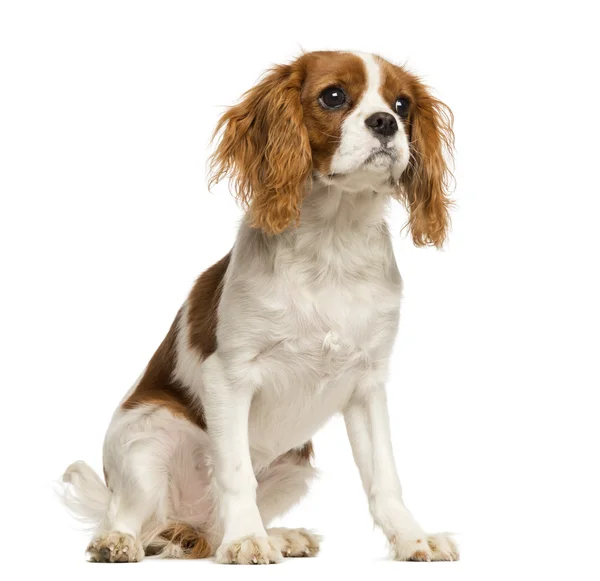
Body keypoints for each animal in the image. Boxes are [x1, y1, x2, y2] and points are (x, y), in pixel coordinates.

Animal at [61, 48, 458, 560]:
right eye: (333, 96)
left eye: (403, 104)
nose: (385, 122)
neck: (333, 241)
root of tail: (182, 523)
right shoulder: (229, 376)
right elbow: (235, 475)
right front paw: (247, 540)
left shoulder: (368, 385)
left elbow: (384, 479)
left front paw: (413, 538)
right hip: (147, 436)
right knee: (128, 513)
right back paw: (119, 541)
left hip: (295, 466)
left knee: (208, 535)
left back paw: (278, 535)